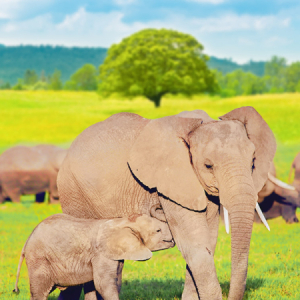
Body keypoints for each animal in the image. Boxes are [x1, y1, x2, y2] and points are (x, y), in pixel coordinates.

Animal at [13, 213, 173, 300]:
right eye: (158, 230)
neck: (123, 220)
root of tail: (27, 240)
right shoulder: (101, 254)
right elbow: (104, 285)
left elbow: (113, 283)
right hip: (39, 260)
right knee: (40, 292)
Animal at [57, 106, 276, 298]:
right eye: (208, 165)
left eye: (253, 162)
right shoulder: (172, 183)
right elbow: (195, 246)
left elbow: (207, 243)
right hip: (74, 194)